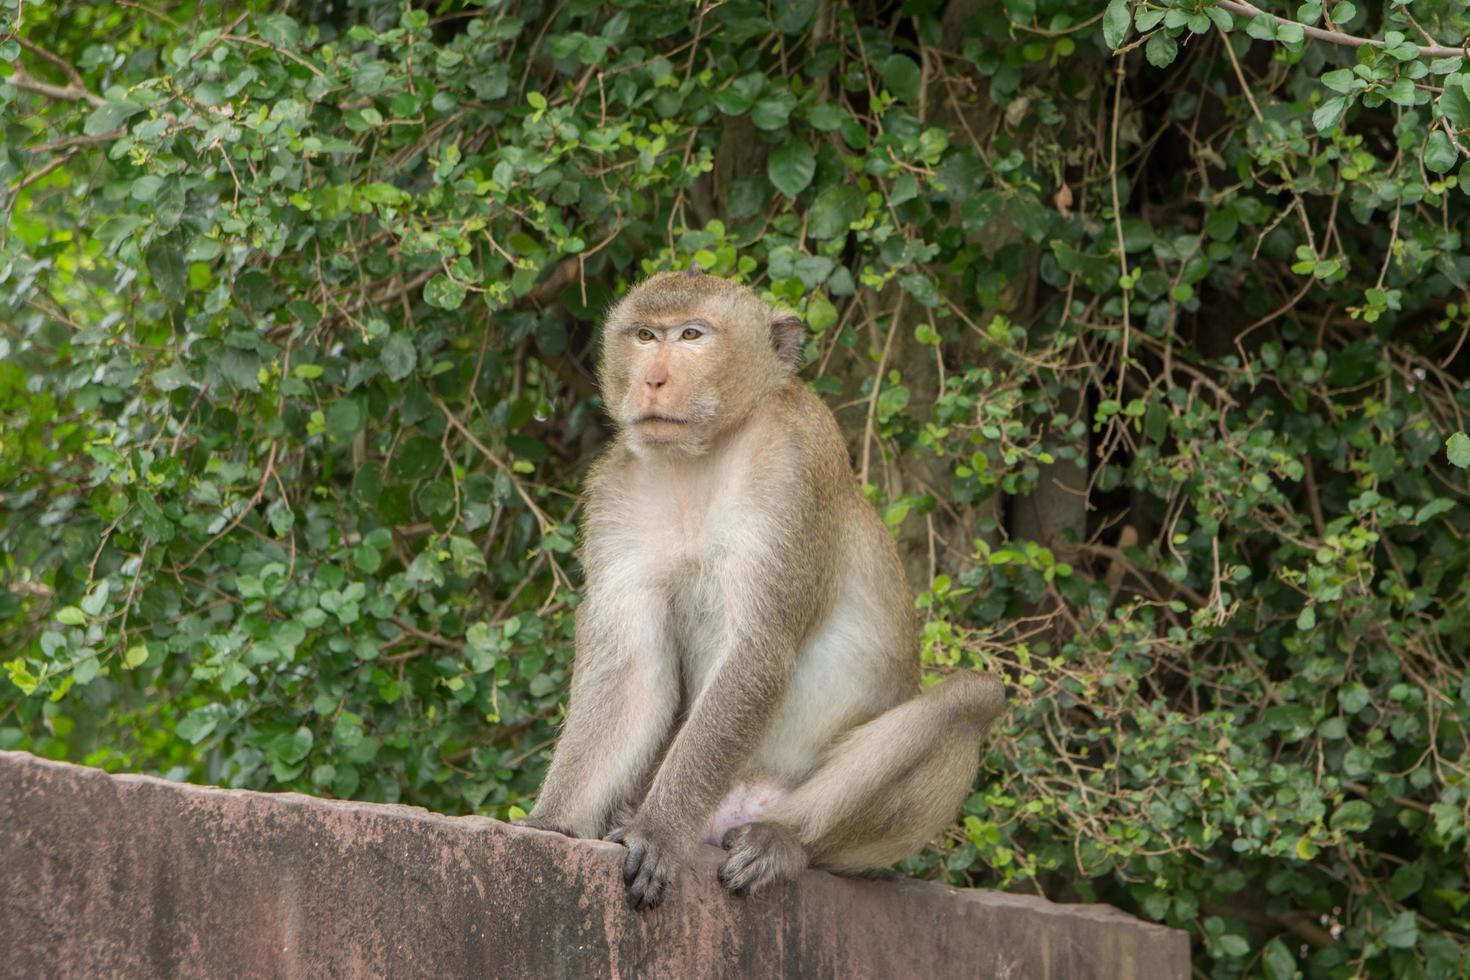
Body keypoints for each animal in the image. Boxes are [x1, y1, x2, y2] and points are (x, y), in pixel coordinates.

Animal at [520, 264, 1011, 910]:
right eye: (645, 336)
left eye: (693, 335)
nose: (653, 379)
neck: (701, 456)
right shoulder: (614, 492)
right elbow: (631, 669)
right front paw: (552, 822)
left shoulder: (794, 466)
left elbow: (760, 651)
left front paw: (658, 831)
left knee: (973, 699)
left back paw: (783, 841)